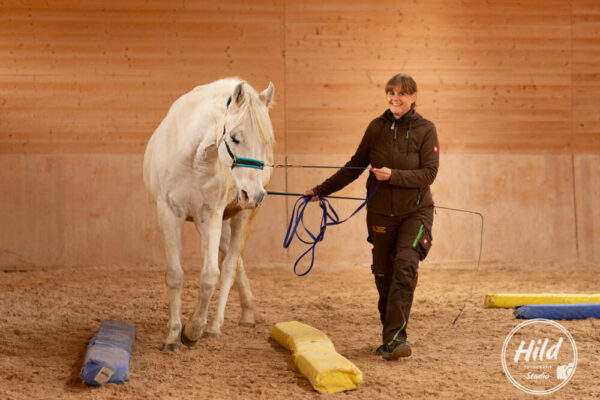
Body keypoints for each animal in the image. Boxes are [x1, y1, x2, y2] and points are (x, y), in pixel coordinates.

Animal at [144, 77, 276, 350]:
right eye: (235, 138)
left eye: (266, 141)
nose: (255, 195)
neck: (195, 160)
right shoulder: (169, 214)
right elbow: (175, 275)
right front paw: (172, 336)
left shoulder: (211, 215)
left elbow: (210, 276)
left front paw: (192, 330)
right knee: (235, 261)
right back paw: (247, 313)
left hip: (241, 216)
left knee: (230, 267)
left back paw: (215, 326)